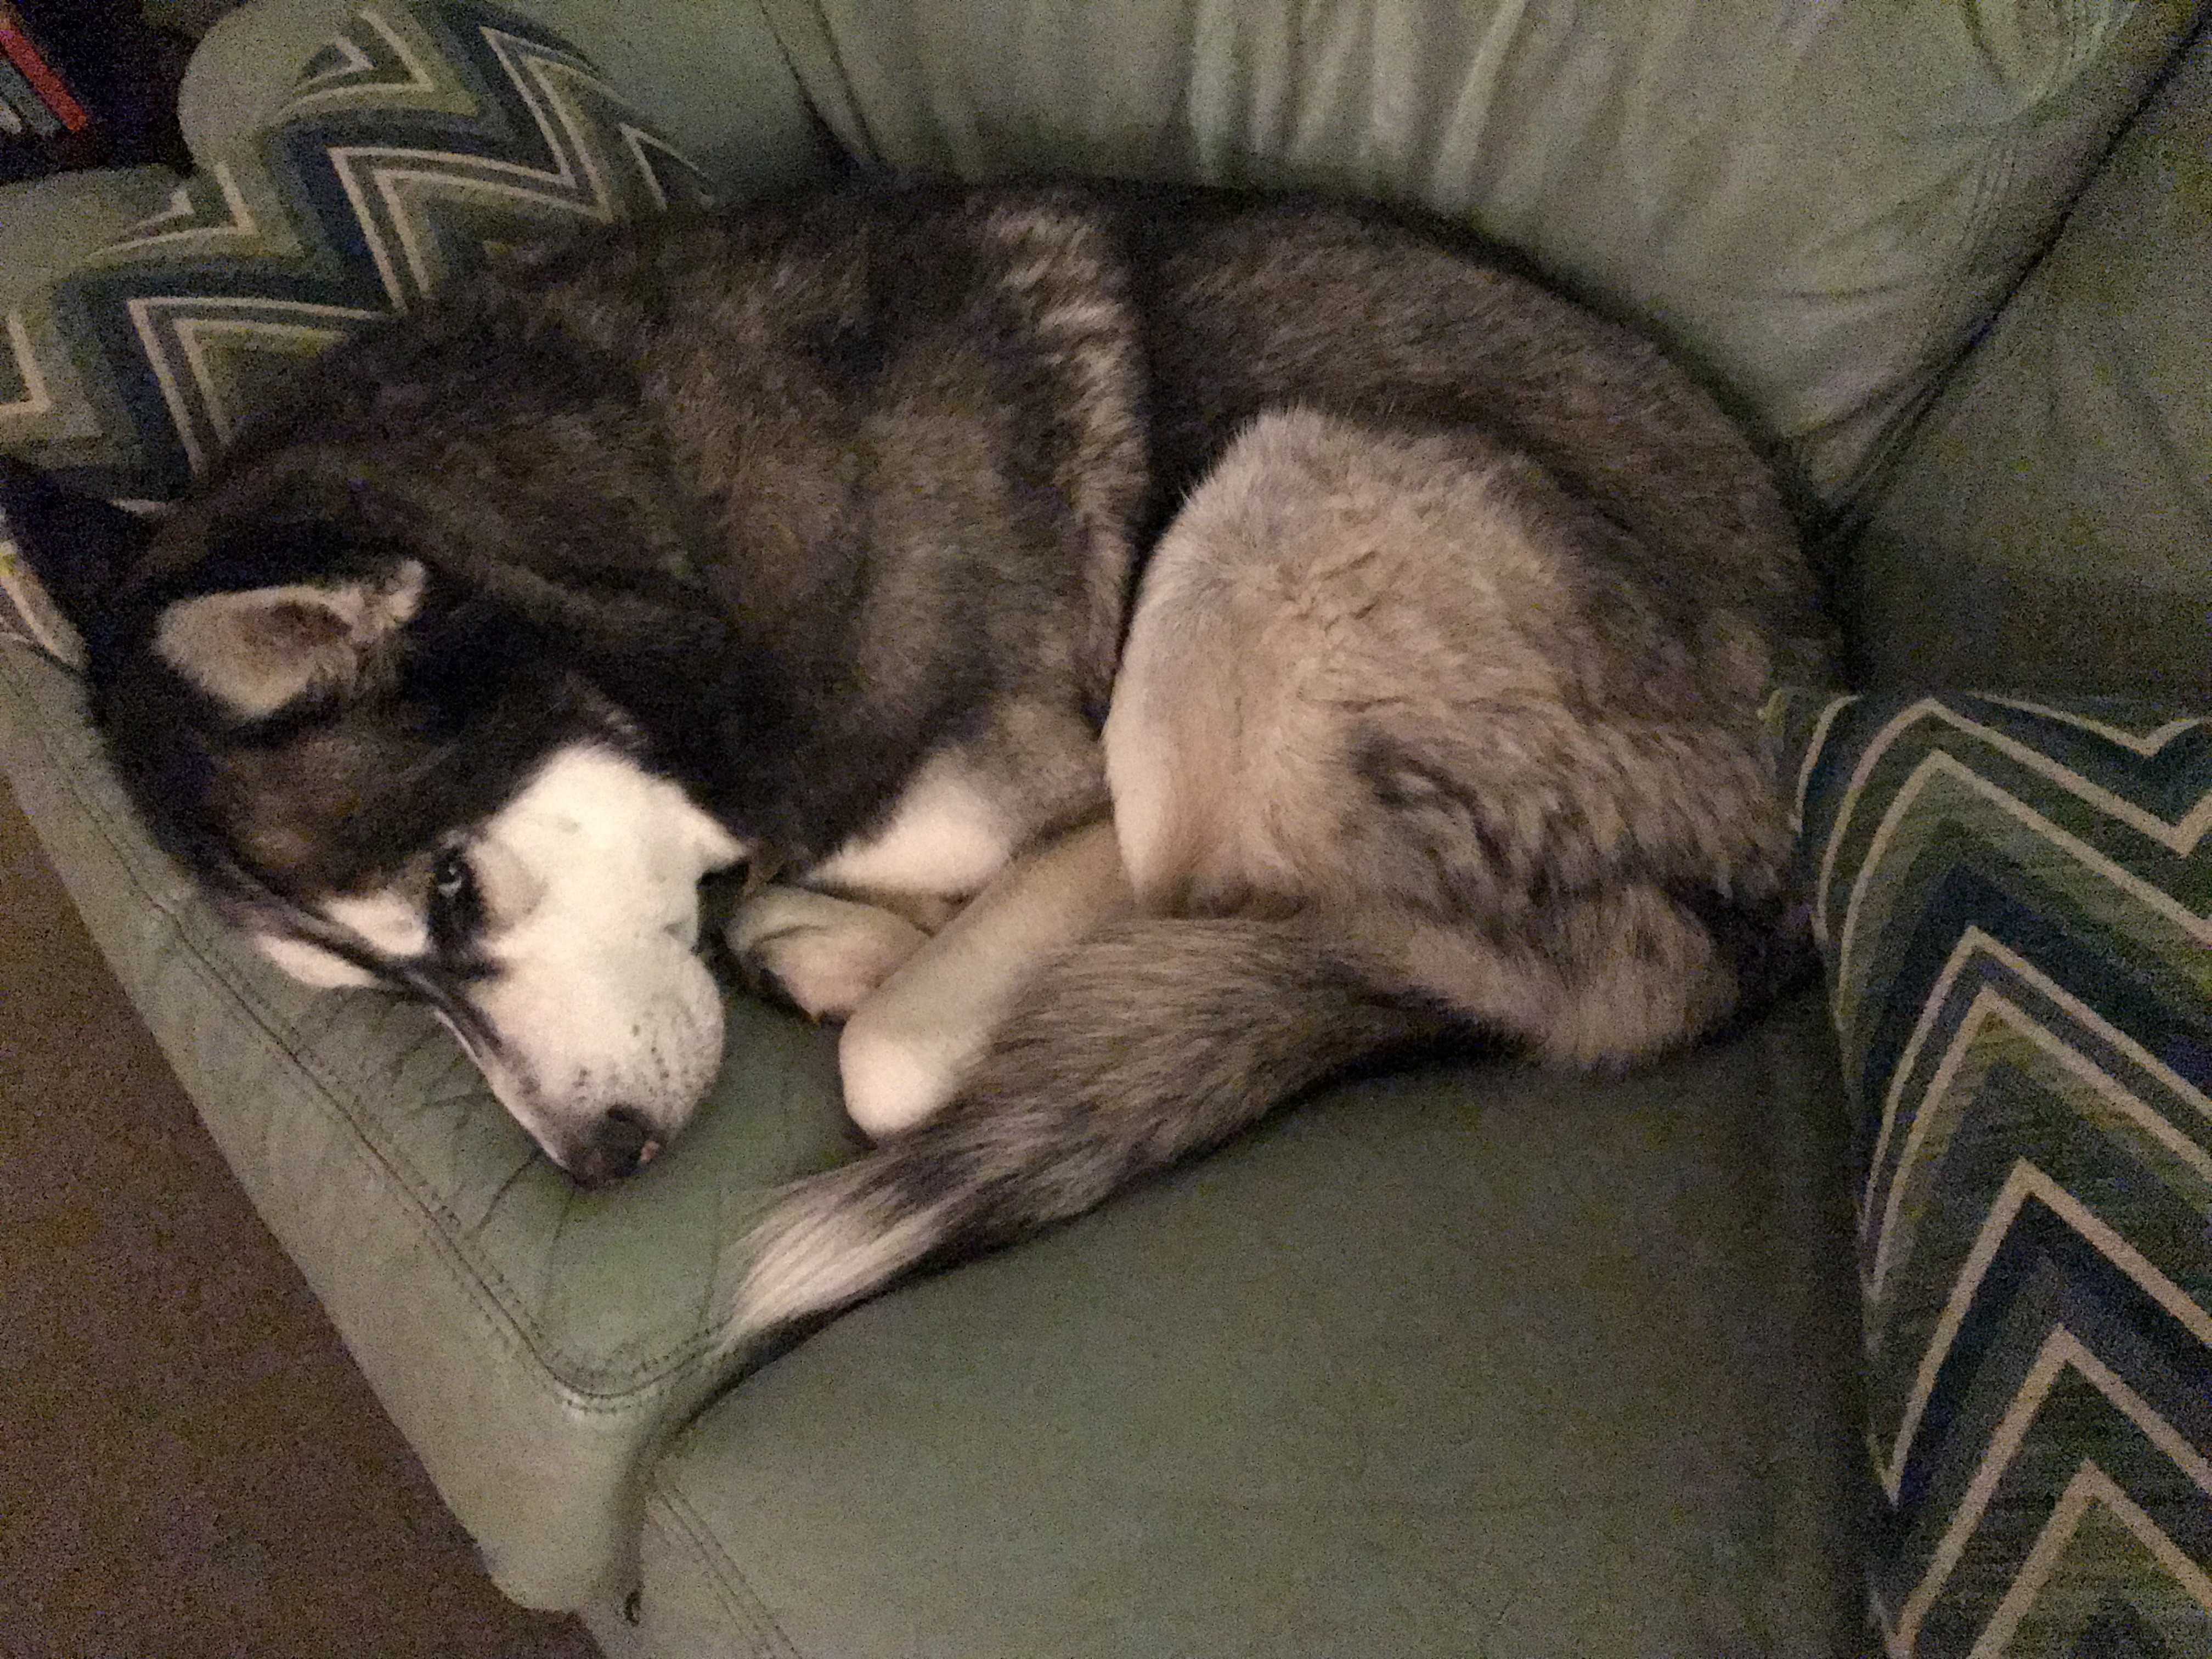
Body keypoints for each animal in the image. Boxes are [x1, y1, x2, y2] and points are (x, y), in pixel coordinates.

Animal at [0, 181, 1822, 1345]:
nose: (604, 1166)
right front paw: (814, 932)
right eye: (384, 994)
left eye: (452, 894)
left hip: (1270, 502)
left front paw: (883, 966)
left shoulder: (1077, 805)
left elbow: (897, 1054)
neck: (665, 559)